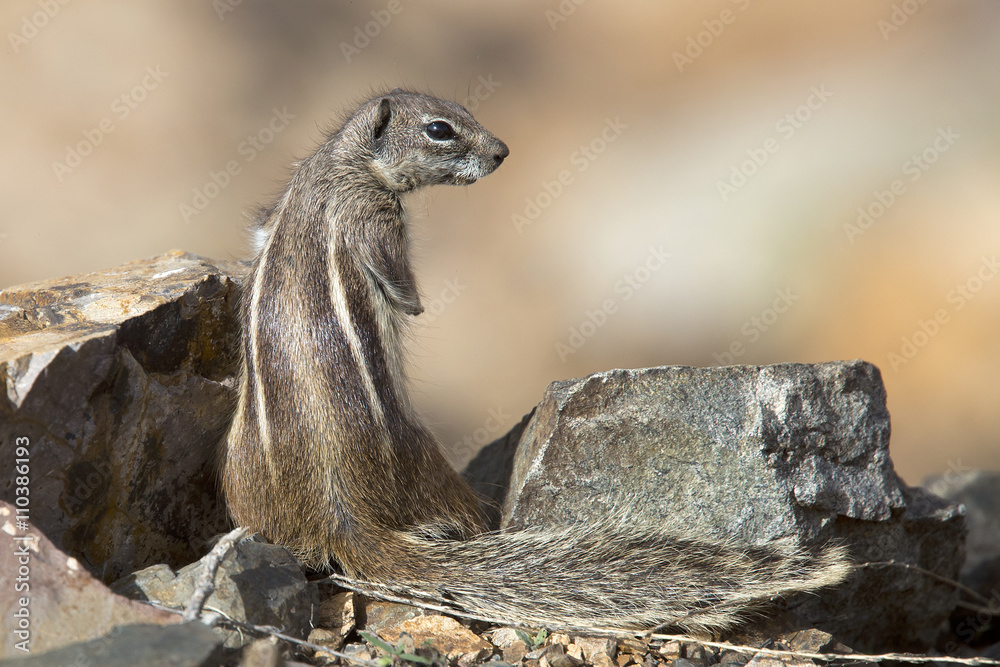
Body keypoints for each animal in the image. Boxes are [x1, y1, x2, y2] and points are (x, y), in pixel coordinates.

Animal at [221, 89, 851, 632]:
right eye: (439, 129)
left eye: (462, 110)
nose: (502, 150)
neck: (340, 161)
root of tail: (343, 514)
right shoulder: (375, 216)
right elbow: (401, 287)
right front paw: (415, 302)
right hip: (425, 464)